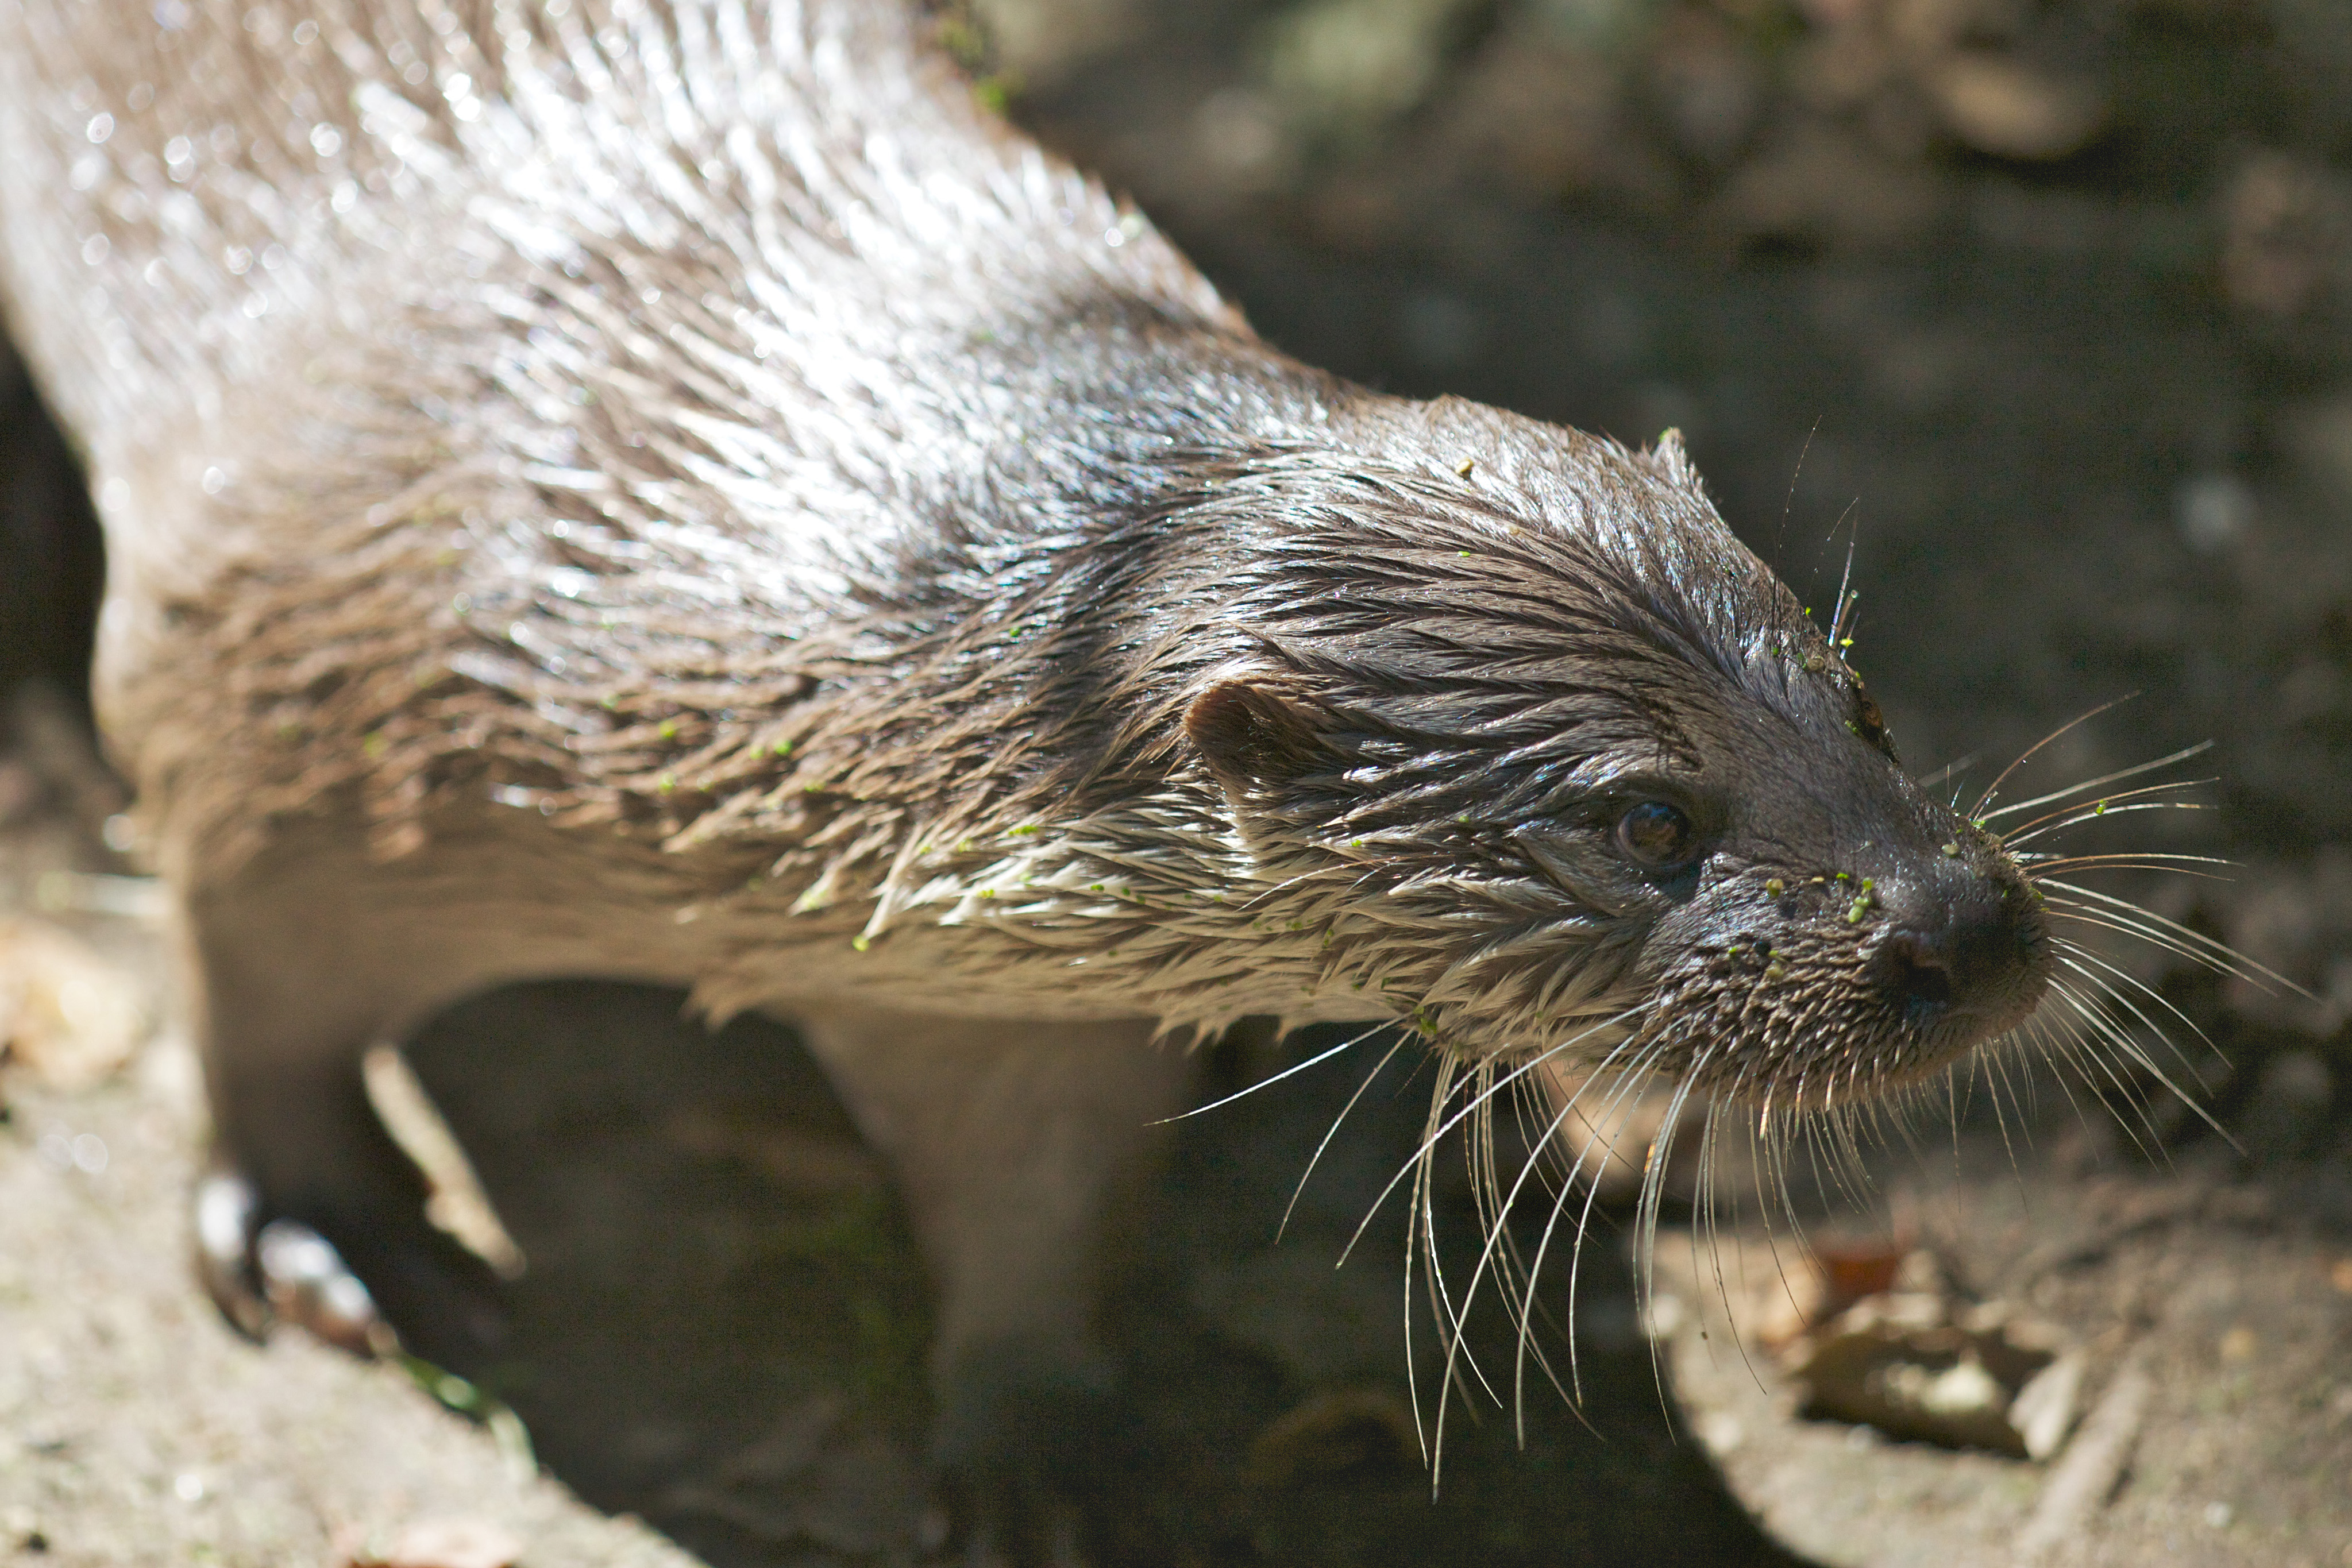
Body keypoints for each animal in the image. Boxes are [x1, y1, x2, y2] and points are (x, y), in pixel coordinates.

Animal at [0, 0, 2051, 1554]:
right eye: (1641, 817)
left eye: (1857, 697)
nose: (1957, 925)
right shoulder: (256, 698)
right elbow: (252, 991)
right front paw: (324, 1225)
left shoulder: (1000, 995)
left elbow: (1038, 1193)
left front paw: (1040, 1440)